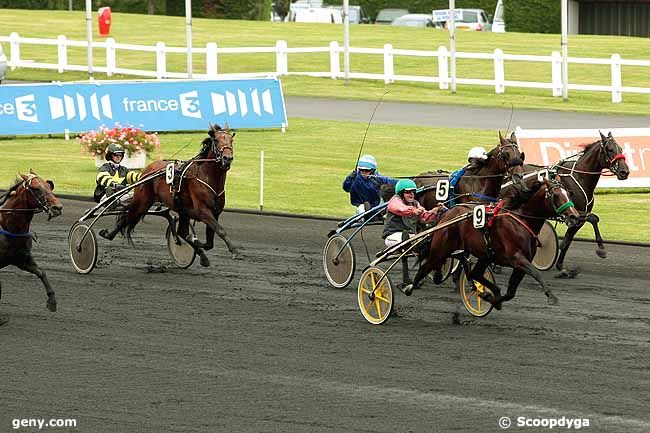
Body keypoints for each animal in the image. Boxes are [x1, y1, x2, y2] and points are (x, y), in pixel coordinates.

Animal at [0, 170, 63, 312]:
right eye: (36, 188)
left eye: (49, 186)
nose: (57, 207)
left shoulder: (22, 259)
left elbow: (41, 273)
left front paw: (52, 301)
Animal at [102, 121, 239, 268]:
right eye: (217, 140)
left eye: (231, 140)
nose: (227, 158)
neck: (207, 176)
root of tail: (146, 171)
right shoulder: (203, 211)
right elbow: (220, 231)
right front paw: (234, 251)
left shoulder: (215, 212)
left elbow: (209, 242)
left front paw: (198, 246)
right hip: (142, 202)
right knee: (127, 216)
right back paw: (108, 234)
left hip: (182, 210)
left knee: (182, 232)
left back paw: (201, 255)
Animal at [404, 176, 576, 308]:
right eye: (555, 195)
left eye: (568, 193)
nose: (574, 216)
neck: (520, 220)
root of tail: (447, 213)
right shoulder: (517, 258)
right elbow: (536, 273)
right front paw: (552, 296)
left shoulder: (520, 263)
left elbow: (511, 292)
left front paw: (492, 298)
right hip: (441, 249)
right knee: (426, 266)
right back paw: (409, 287)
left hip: (484, 255)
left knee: (474, 273)